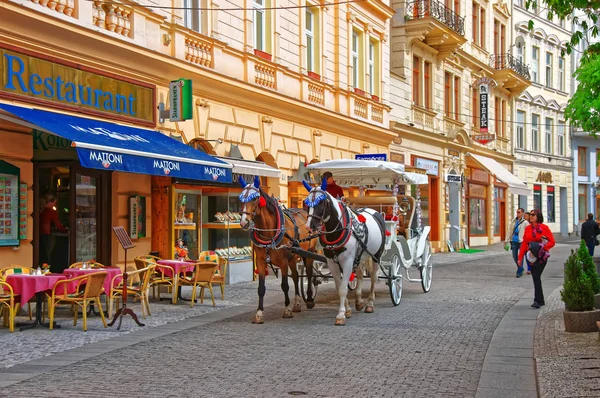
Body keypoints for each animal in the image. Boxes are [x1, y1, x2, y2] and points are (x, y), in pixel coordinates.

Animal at [239, 176, 318, 324]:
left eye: (255, 198)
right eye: (240, 198)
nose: (244, 222)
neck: (270, 232)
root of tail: (304, 211)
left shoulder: (283, 261)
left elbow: (285, 285)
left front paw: (286, 310)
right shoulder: (261, 261)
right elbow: (261, 288)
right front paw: (259, 313)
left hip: (309, 252)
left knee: (310, 274)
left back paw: (309, 299)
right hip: (292, 257)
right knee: (296, 277)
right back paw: (297, 303)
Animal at [302, 179, 386, 324]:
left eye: (321, 202)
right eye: (306, 202)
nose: (309, 226)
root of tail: (373, 211)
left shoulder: (347, 262)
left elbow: (342, 288)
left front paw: (341, 315)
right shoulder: (332, 262)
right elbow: (339, 286)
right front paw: (347, 309)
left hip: (376, 256)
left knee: (374, 278)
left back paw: (370, 304)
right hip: (360, 256)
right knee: (359, 275)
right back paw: (359, 301)